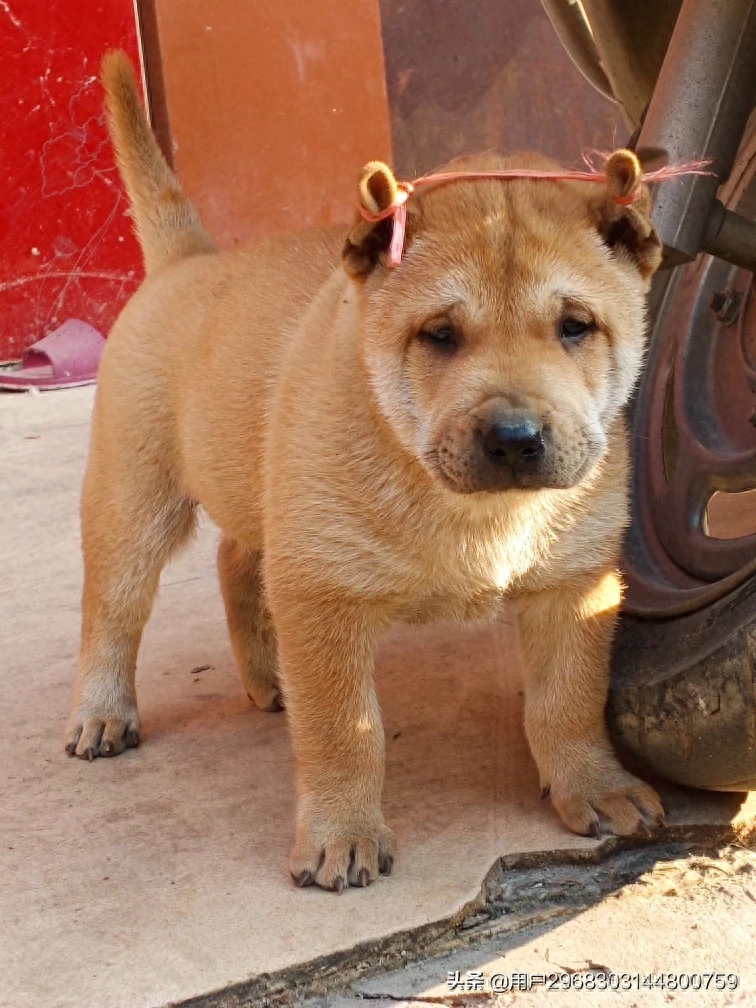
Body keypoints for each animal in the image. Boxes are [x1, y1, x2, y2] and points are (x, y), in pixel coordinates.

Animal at [68, 53, 665, 891]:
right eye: (440, 335)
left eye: (576, 327)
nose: (514, 438)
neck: (467, 508)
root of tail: (191, 262)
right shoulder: (324, 593)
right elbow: (345, 730)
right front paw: (340, 834)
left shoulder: (574, 583)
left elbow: (568, 700)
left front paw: (594, 784)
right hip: (134, 499)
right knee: (113, 610)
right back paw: (101, 711)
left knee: (235, 559)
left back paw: (266, 676)